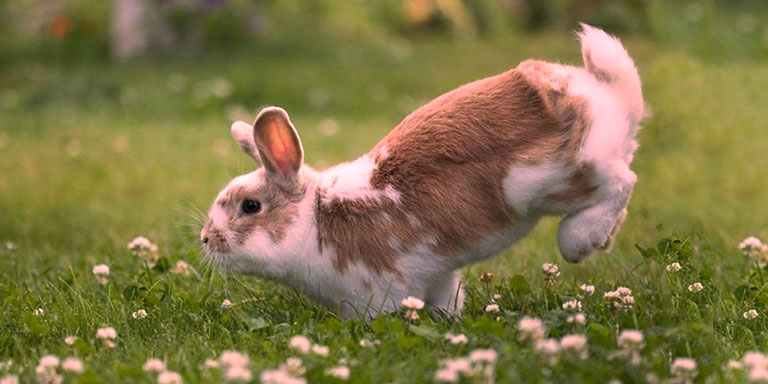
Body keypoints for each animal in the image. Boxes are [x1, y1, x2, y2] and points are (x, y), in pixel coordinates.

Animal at [201, 24, 644, 318]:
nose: (206, 239)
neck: (316, 218)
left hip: (549, 181)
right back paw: (602, 239)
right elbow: (447, 300)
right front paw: (450, 323)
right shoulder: (437, 276)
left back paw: (581, 241)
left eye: (250, 206)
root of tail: (605, 94)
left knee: (621, 182)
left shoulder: (378, 290)